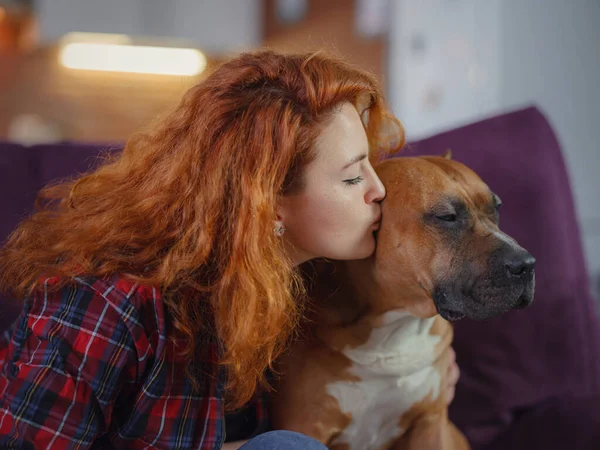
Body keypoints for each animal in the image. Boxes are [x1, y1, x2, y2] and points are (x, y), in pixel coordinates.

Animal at [270, 156, 536, 450]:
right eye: (447, 217)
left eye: (496, 208)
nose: (526, 264)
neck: (398, 323)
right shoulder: (305, 426)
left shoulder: (430, 424)